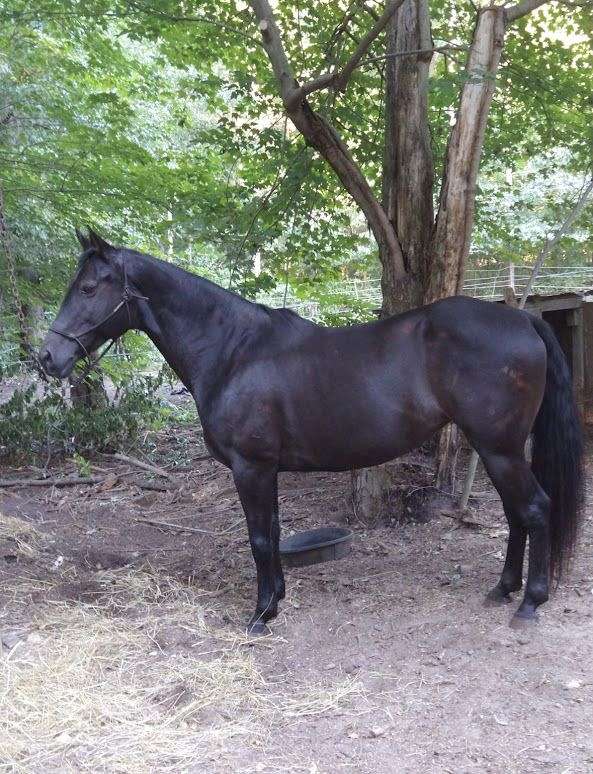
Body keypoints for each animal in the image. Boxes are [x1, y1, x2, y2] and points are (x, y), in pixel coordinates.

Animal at [39, 229, 584, 634]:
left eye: (89, 289)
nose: (47, 357)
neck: (234, 350)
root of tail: (522, 317)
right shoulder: (267, 470)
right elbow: (275, 532)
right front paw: (276, 598)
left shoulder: (251, 467)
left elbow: (260, 538)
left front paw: (261, 615)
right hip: (496, 450)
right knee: (517, 515)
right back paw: (503, 588)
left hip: (500, 448)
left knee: (535, 509)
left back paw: (529, 603)